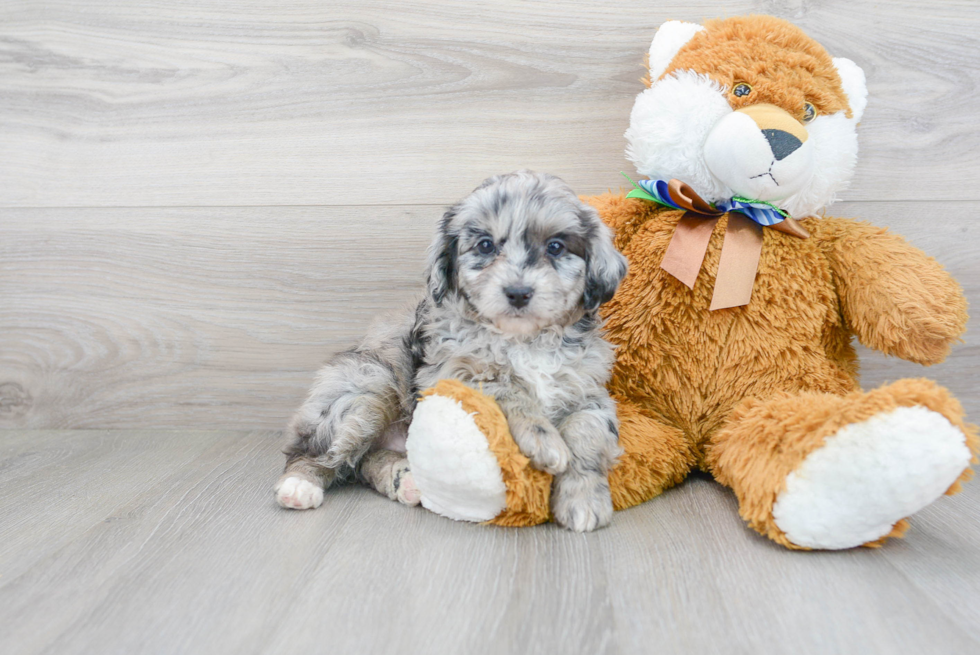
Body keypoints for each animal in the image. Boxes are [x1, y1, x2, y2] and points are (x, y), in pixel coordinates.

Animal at [276, 170, 628, 532]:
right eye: (485, 245)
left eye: (555, 247)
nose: (518, 292)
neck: (523, 340)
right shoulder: (452, 373)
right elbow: (508, 388)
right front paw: (544, 441)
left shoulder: (589, 391)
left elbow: (588, 431)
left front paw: (584, 499)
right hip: (365, 387)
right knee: (319, 452)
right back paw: (300, 485)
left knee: (364, 462)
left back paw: (406, 481)